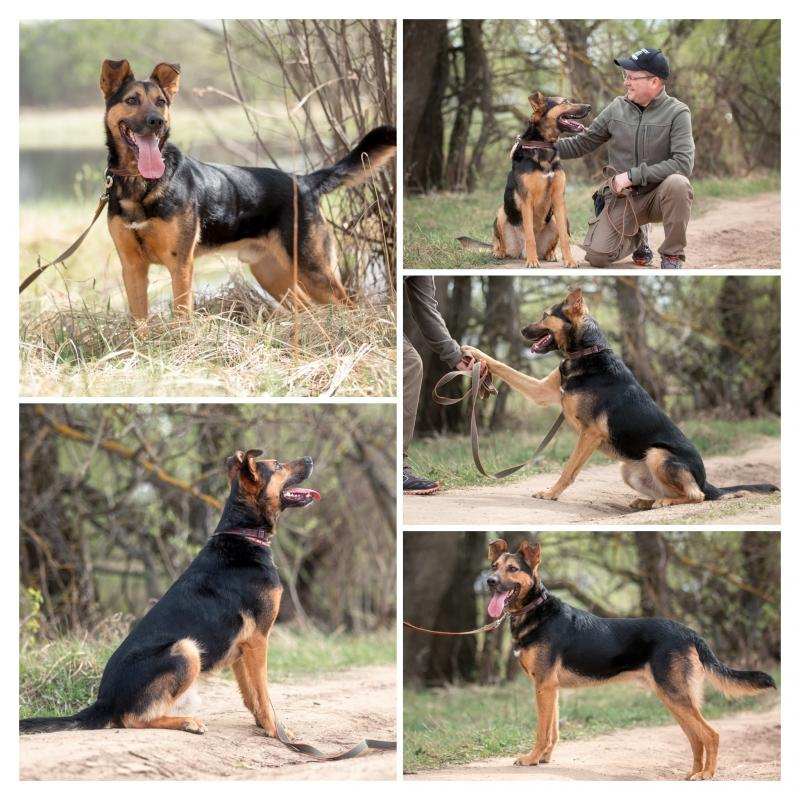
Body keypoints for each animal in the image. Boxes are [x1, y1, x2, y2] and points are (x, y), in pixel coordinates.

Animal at [19, 446, 318, 736]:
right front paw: (277, 730)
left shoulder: (244, 647)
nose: (310, 458)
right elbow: (264, 694)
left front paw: (263, 725)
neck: (244, 533)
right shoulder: (258, 640)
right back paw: (187, 722)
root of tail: (103, 702)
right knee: (132, 718)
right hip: (186, 649)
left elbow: (251, 694)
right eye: (277, 465)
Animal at [101, 57, 396, 320]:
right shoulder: (133, 267)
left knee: (351, 307)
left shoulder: (180, 265)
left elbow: (182, 317)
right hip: (272, 274)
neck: (140, 182)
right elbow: (139, 322)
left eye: (160, 102)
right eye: (132, 100)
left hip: (313, 269)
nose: (156, 122)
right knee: (306, 309)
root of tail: (303, 181)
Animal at [462, 288, 780, 506]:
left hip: (658, 455)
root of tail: (706, 480)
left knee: (696, 495)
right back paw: (646, 502)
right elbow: (502, 365)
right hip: (629, 469)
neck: (587, 353)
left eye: (544, 316)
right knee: (677, 492)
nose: (521, 330)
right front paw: (473, 353)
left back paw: (666, 501)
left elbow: (568, 470)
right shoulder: (541, 391)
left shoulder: (590, 434)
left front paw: (551, 493)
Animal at [488, 540, 776, 780]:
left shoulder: (544, 686)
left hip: (675, 695)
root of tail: (689, 632)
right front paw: (545, 758)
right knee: (696, 738)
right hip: (673, 697)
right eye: (494, 566)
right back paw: (694, 773)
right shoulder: (550, 688)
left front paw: (532, 759)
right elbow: (553, 731)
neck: (536, 609)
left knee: (711, 735)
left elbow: (542, 730)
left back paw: (707, 774)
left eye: (513, 569)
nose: (489, 581)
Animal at [490, 93, 592, 268]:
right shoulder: (526, 200)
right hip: (502, 213)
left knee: (553, 243)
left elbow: (564, 239)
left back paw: (550, 255)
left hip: (559, 219)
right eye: (565, 102)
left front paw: (570, 260)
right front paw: (532, 261)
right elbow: (530, 236)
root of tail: (520, 252)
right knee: (501, 241)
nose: (589, 107)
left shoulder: (558, 199)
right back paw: (501, 252)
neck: (543, 146)